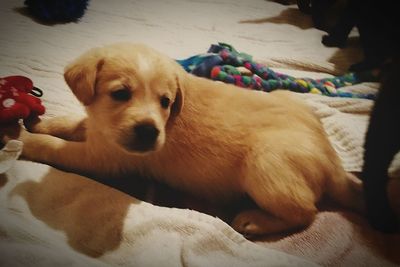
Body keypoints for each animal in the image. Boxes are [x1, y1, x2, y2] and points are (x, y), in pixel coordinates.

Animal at [0, 43, 362, 237]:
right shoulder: (99, 133)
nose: (149, 132)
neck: (105, 130)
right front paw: (40, 121)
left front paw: (20, 137)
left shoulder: (104, 158)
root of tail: (334, 162)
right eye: (120, 94)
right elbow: (70, 124)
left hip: (267, 162)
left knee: (305, 213)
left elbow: (55, 147)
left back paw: (255, 220)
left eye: (166, 101)